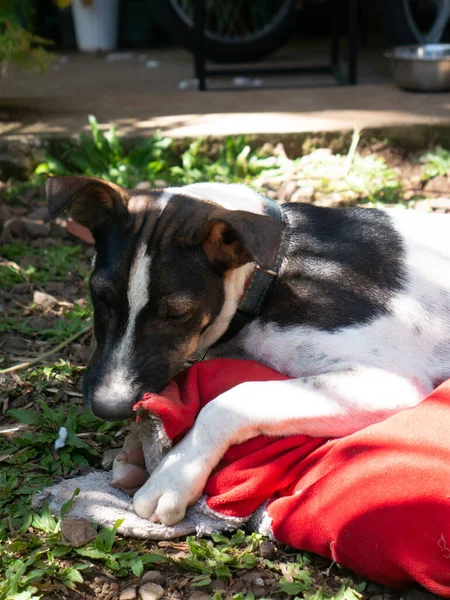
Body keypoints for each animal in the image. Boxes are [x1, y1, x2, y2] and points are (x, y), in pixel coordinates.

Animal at [46, 175, 450, 524]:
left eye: (178, 313)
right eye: (99, 295)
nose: (107, 408)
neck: (272, 272)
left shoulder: (388, 381)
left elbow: (229, 400)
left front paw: (173, 474)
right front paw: (135, 452)